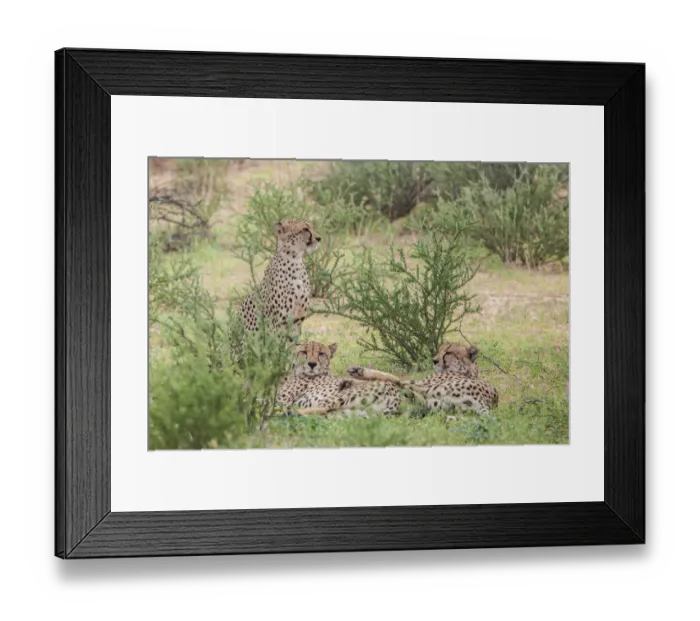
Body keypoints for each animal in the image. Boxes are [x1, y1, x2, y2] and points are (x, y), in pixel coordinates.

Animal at [347, 343, 499, 416]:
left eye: (448, 352)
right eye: (440, 350)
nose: (434, 360)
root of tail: (487, 401)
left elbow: (392, 378)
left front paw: (356, 375)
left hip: (426, 389)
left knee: (397, 381)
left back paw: (359, 373)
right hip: (429, 403)